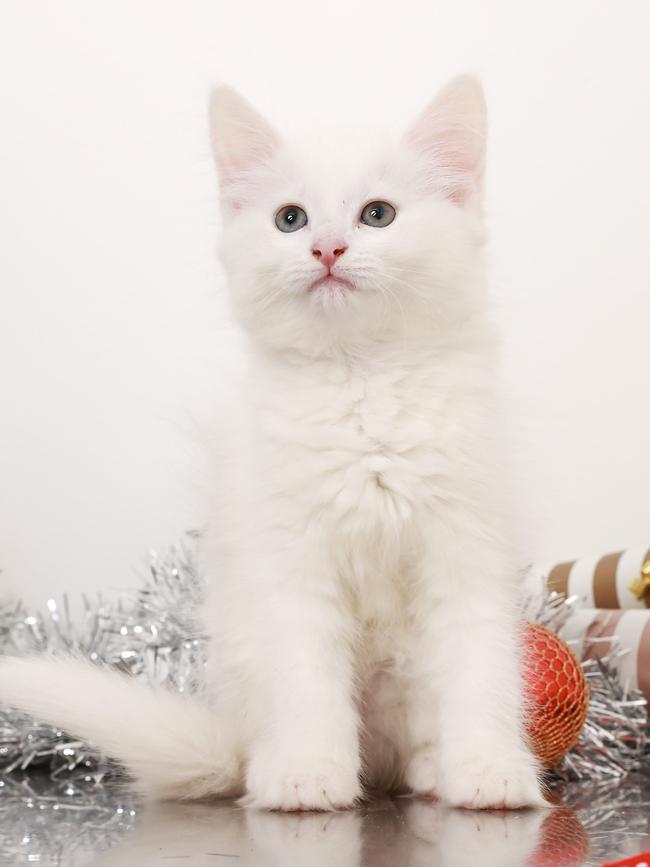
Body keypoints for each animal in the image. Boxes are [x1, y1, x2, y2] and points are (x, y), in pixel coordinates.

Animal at [0, 76, 544, 812]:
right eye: (291, 220)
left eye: (377, 215)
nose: (328, 249)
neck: (362, 384)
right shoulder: (292, 566)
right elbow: (309, 683)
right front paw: (308, 774)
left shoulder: (464, 549)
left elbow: (478, 673)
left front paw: (488, 769)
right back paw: (274, 767)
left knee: (408, 749)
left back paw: (433, 769)